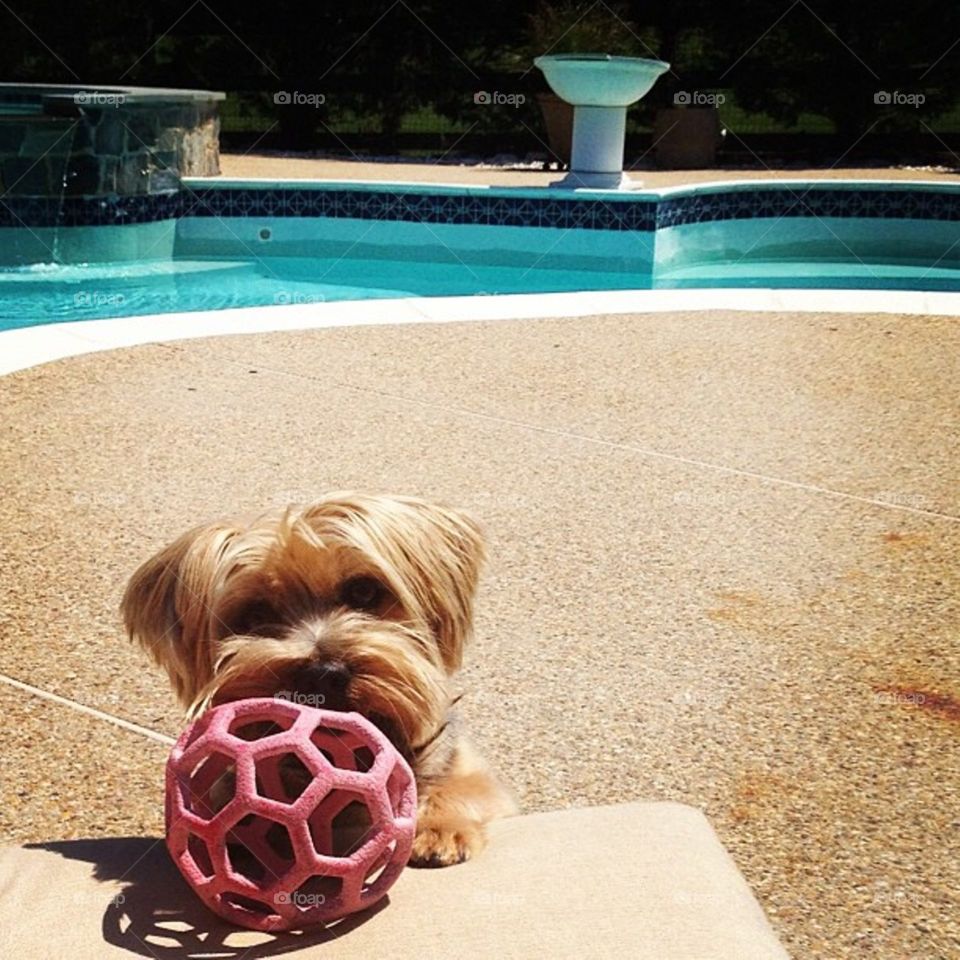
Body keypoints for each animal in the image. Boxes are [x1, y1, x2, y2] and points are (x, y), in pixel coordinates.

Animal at [123, 492, 512, 868]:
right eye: (256, 614)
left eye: (363, 591)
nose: (324, 674)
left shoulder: (470, 774)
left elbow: (462, 789)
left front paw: (439, 830)